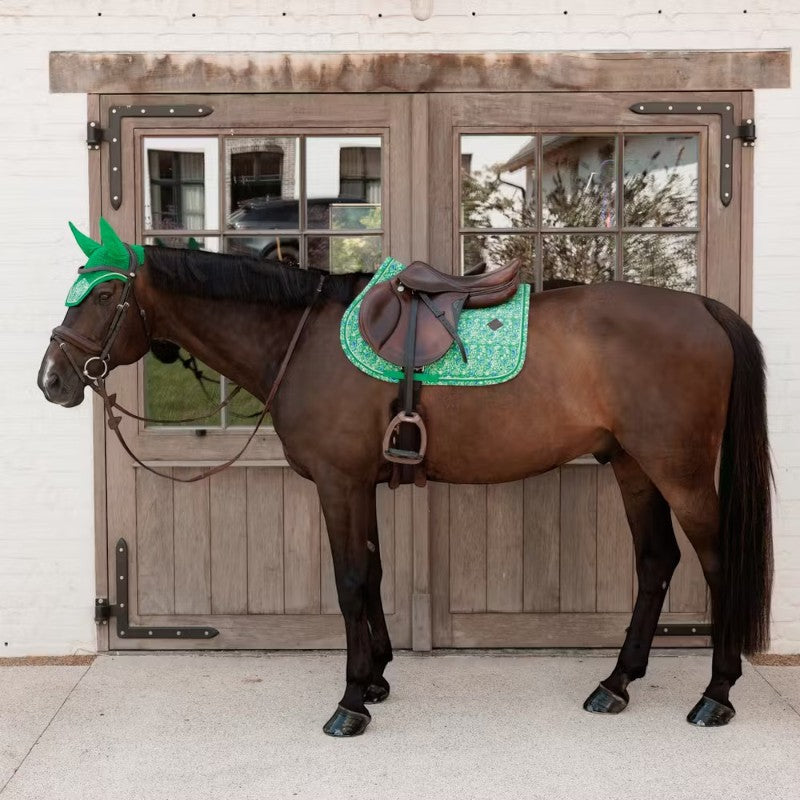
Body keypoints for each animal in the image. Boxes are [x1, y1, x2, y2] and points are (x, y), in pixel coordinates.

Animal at [38, 219, 772, 736]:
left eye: (104, 293)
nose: (52, 380)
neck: (301, 340)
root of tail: (704, 309)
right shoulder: (358, 484)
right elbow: (373, 572)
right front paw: (378, 679)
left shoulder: (337, 483)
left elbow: (348, 581)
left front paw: (350, 701)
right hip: (632, 466)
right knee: (655, 562)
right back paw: (616, 684)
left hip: (678, 472)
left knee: (716, 564)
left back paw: (715, 696)